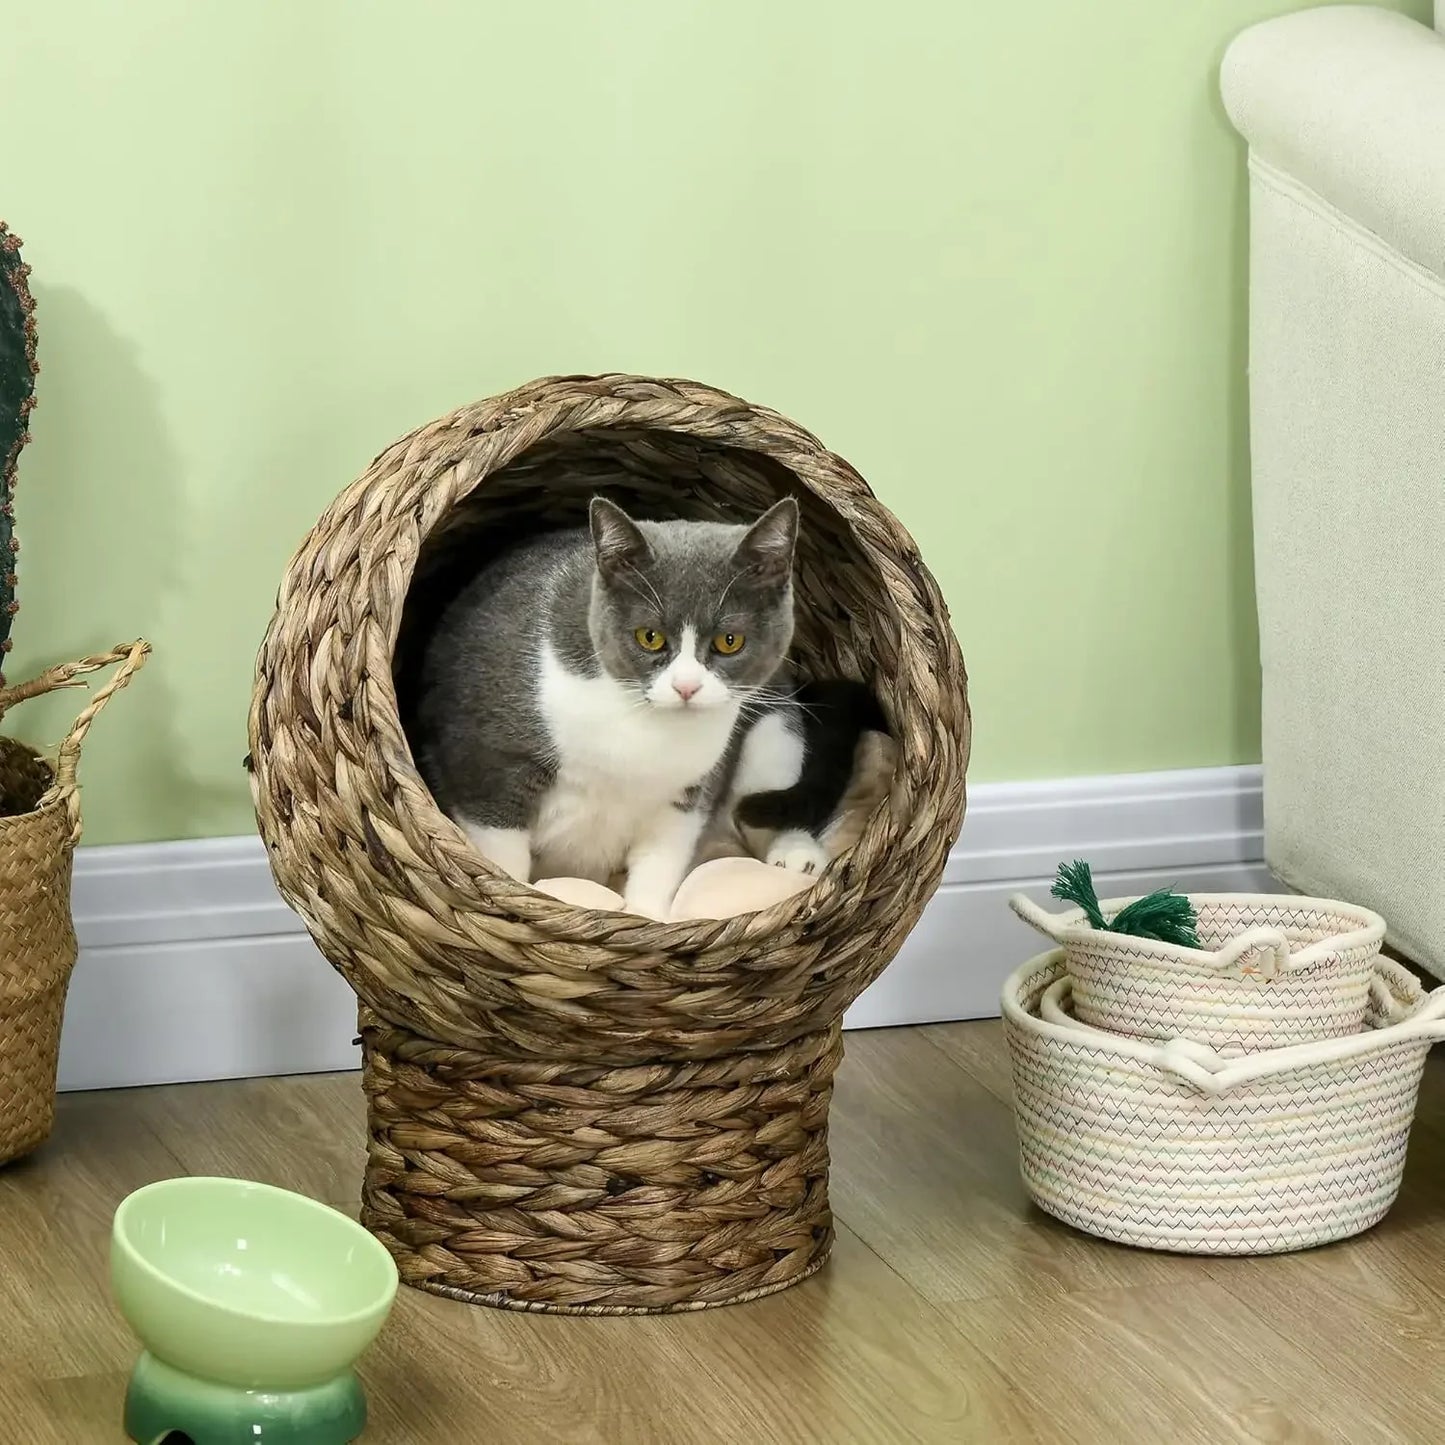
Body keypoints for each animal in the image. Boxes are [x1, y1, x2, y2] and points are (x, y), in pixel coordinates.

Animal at [413, 499, 832, 913]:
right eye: (650, 637)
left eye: (730, 641)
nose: (686, 687)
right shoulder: (487, 765)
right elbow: (501, 853)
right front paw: (513, 897)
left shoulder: (686, 796)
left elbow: (661, 863)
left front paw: (649, 916)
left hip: (775, 731)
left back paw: (797, 855)